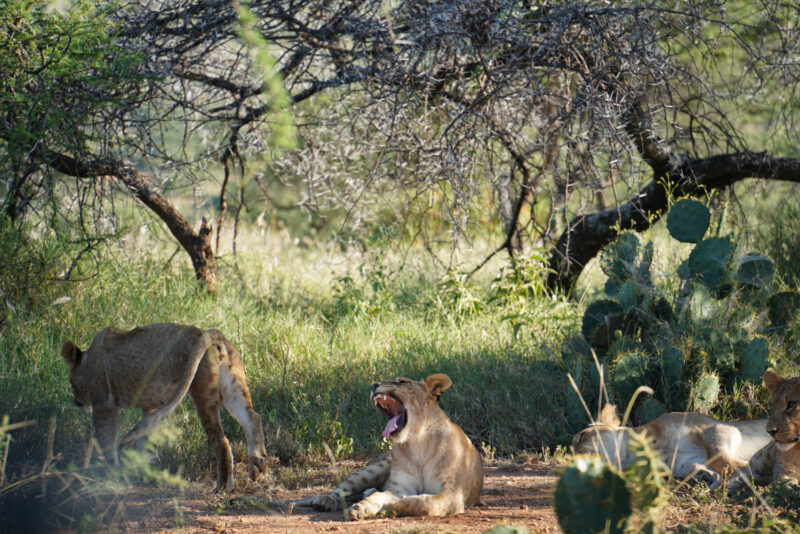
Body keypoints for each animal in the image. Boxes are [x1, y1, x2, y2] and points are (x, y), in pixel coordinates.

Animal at [61, 324, 268, 492]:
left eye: (71, 383)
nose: (76, 401)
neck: (88, 360)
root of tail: (210, 334)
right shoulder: (151, 408)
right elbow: (143, 440)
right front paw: (142, 474)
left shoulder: (104, 405)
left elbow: (107, 443)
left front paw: (110, 480)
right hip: (233, 388)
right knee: (253, 418)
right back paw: (260, 468)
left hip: (203, 392)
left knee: (221, 440)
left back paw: (224, 486)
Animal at [294, 374, 482, 520]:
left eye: (402, 381)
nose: (373, 385)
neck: (418, 442)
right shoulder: (400, 487)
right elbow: (383, 496)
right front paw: (360, 508)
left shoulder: (453, 493)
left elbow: (425, 502)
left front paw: (394, 505)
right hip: (373, 469)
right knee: (341, 488)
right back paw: (325, 501)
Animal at [572, 404, 772, 488]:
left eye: (581, 436)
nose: (573, 456)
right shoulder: (682, 462)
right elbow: (697, 465)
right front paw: (706, 475)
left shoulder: (716, 428)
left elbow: (720, 458)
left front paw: (748, 468)